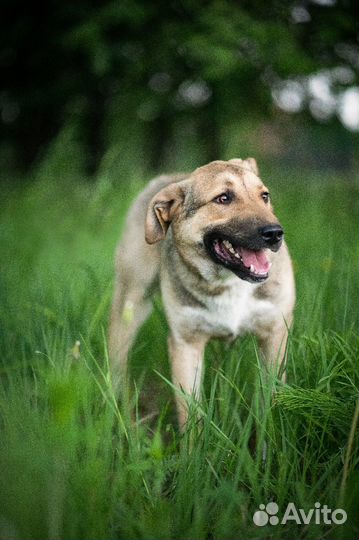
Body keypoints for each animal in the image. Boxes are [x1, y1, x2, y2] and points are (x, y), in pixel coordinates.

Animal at [109, 158, 296, 428]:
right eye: (223, 198)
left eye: (265, 196)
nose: (275, 233)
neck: (229, 282)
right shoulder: (187, 344)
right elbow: (190, 415)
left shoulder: (275, 334)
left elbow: (269, 402)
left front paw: (268, 436)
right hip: (132, 299)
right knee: (118, 351)